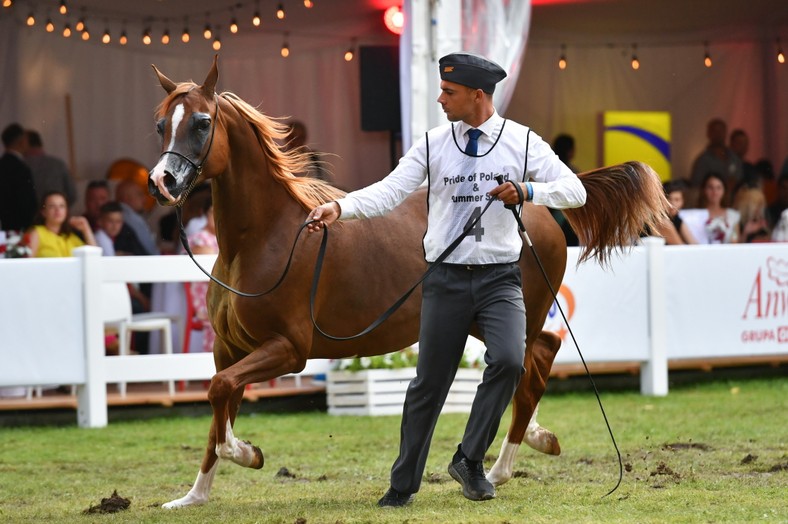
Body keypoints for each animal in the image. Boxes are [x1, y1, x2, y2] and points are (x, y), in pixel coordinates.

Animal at [149, 57, 672, 508]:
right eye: (160, 124)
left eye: (201, 123)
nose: (162, 182)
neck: (268, 239)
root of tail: (532, 202)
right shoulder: (229, 349)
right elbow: (220, 401)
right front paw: (193, 496)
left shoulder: (288, 348)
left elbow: (220, 396)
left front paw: (248, 453)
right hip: (491, 319)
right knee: (541, 352)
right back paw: (528, 446)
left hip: (519, 311)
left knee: (529, 366)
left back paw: (499, 467)